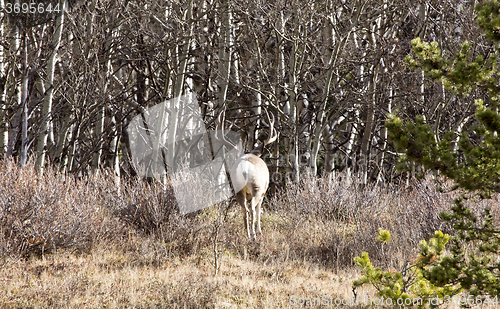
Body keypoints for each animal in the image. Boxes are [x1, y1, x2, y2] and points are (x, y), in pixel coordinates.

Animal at [215, 107, 278, 239]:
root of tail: (245, 166)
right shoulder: (264, 191)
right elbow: (259, 210)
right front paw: (259, 231)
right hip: (257, 186)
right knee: (252, 208)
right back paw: (253, 235)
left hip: (238, 188)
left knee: (245, 209)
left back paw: (248, 234)